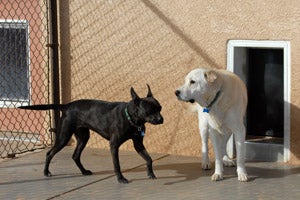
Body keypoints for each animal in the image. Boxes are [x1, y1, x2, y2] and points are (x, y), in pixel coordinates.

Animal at [18, 84, 164, 183]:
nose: (161, 119)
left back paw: (83, 171)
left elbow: (149, 159)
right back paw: (46, 172)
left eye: (160, 108)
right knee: (50, 153)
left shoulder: (138, 144)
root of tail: (66, 106)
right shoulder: (114, 145)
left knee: (75, 156)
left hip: (83, 137)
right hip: (63, 137)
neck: (131, 118)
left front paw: (150, 173)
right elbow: (117, 164)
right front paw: (121, 178)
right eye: (150, 111)